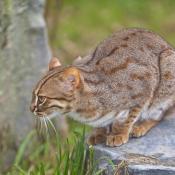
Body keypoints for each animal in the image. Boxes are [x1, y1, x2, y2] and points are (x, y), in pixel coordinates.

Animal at [30, 28, 175, 146]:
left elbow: (128, 117)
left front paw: (119, 133)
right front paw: (99, 132)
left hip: (167, 69)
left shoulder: (144, 89)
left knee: (160, 114)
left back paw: (141, 125)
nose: (31, 109)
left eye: (42, 98)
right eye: (33, 94)